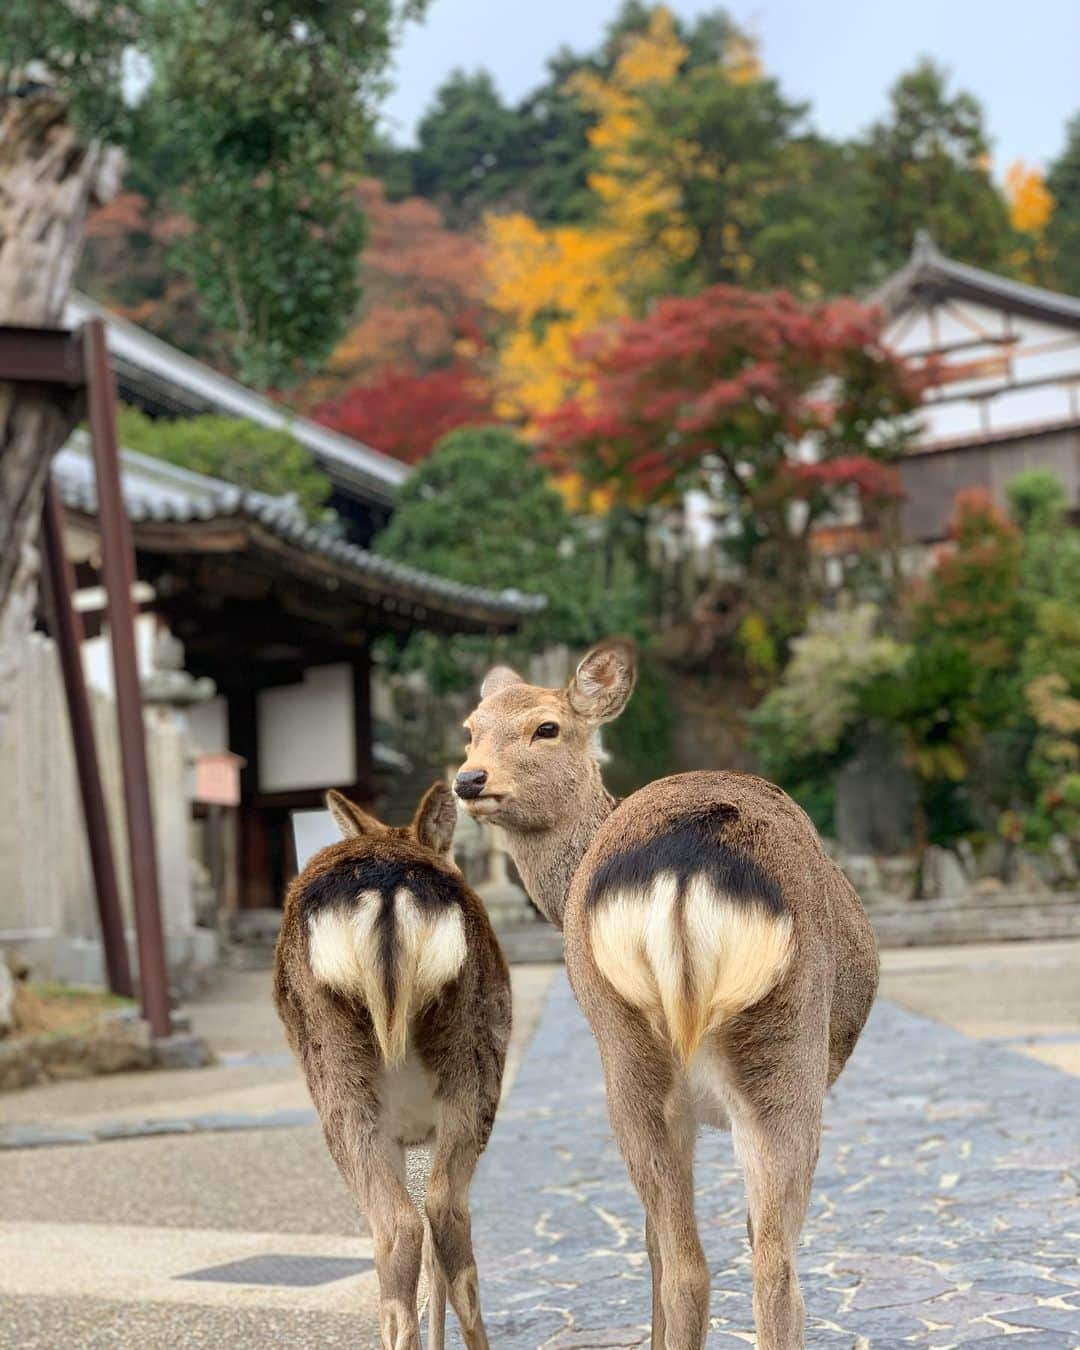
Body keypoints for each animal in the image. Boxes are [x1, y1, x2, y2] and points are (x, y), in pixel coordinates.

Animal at [456, 642, 874, 1350]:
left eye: (547, 727)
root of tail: (684, 869)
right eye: (469, 728)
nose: (469, 780)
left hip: (631, 1054)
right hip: (785, 1047)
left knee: (687, 1262)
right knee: (761, 1269)